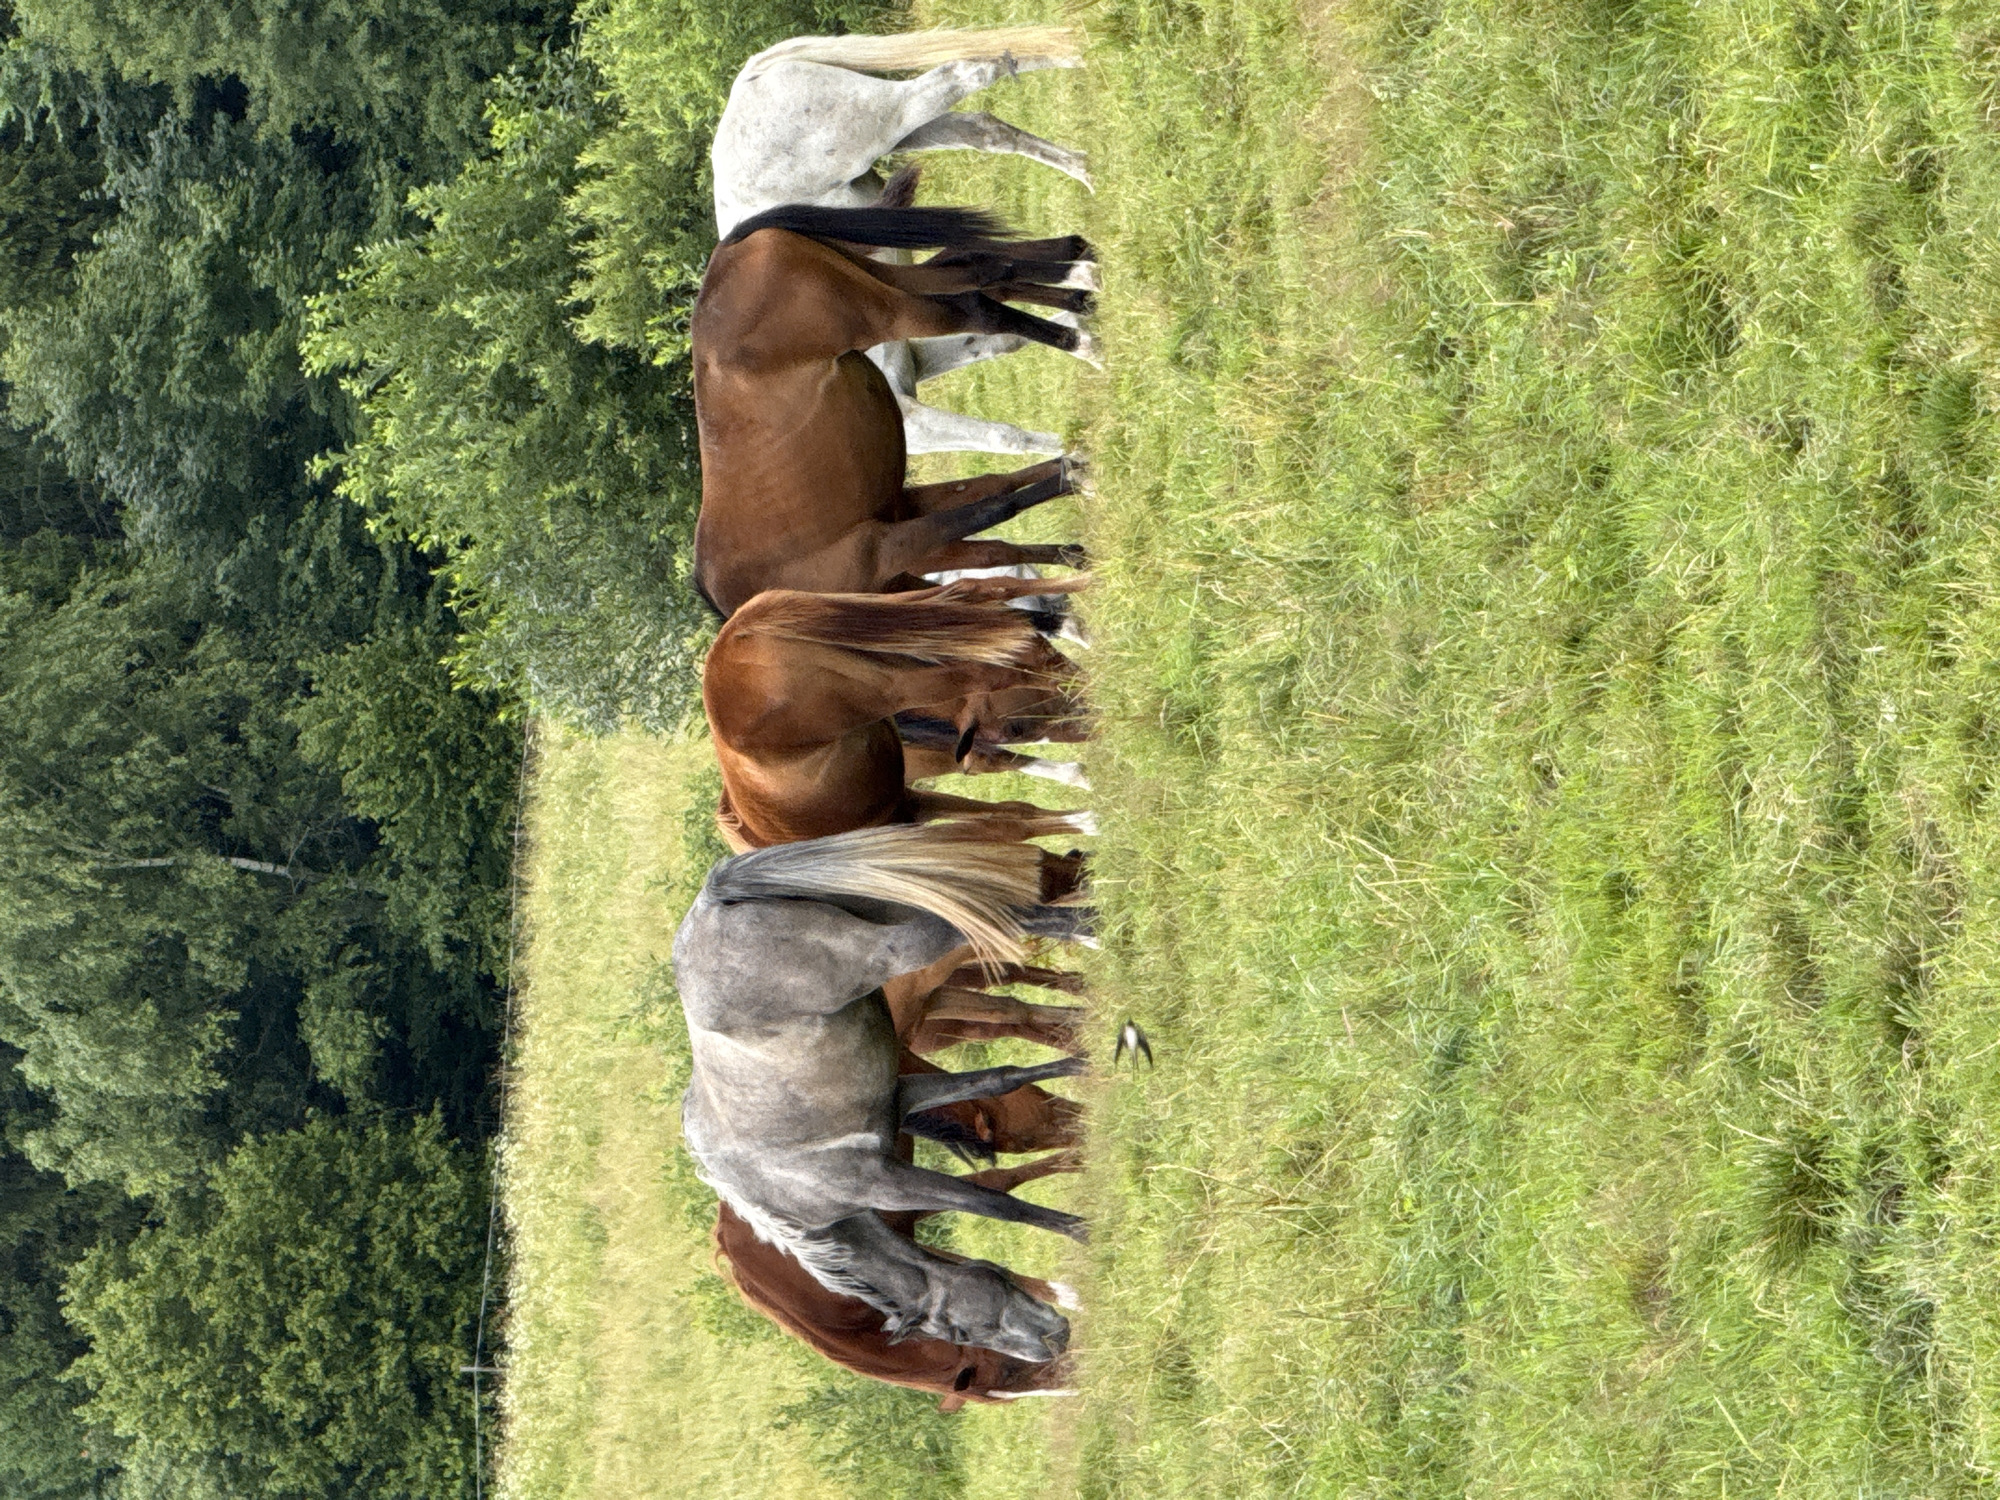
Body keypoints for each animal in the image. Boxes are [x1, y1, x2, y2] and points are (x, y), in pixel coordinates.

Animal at [673, 822, 1095, 1358]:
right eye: (962, 1333)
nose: (1053, 1343)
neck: (781, 1200)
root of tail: (710, 902)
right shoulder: (903, 1098)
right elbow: (1003, 1076)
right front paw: (1083, 1059)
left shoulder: (886, 1182)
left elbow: (996, 1204)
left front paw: (1082, 1230)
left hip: (899, 945)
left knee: (1007, 920)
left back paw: (1097, 924)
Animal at [690, 204, 1095, 619]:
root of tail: (724, 254)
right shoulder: (904, 511)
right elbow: (997, 494)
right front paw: (1076, 478)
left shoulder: (885, 545)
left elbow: (995, 508)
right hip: (880, 278)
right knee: (977, 268)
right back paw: (1080, 279)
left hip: (884, 310)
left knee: (976, 302)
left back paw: (1080, 337)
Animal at [703, 580, 1092, 851]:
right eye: (1014, 727)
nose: (1090, 720)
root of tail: (736, 635)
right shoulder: (912, 802)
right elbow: (1015, 813)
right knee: (982, 600)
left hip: (893, 670)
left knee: (988, 641)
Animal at [712, 28, 1095, 457]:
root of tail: (747, 80)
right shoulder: (921, 353)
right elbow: (1004, 341)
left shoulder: (913, 419)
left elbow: (1002, 436)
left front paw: (1079, 460)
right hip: (909, 134)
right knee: (986, 128)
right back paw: (1086, 157)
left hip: (884, 120)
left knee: (967, 71)